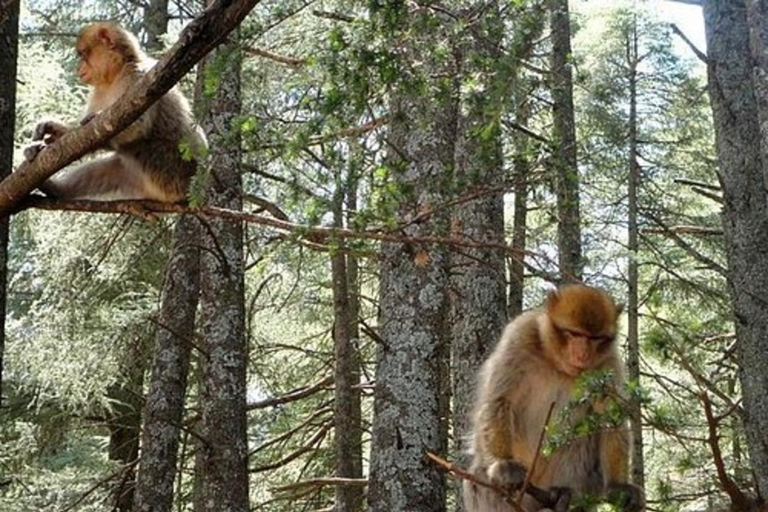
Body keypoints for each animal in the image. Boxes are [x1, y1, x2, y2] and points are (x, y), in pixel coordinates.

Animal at [24, 22, 206, 202]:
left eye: (83, 54)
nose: (78, 67)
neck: (114, 76)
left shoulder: (136, 76)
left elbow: (137, 126)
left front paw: (87, 122)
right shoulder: (99, 92)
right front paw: (53, 130)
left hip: (172, 171)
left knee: (143, 146)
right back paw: (56, 190)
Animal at [463, 284, 644, 512]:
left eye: (595, 339)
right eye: (575, 334)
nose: (583, 355)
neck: (557, 363)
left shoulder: (608, 363)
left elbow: (610, 417)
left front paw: (618, 485)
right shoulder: (520, 336)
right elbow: (500, 400)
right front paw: (503, 464)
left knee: (581, 438)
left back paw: (562, 496)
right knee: (479, 475)